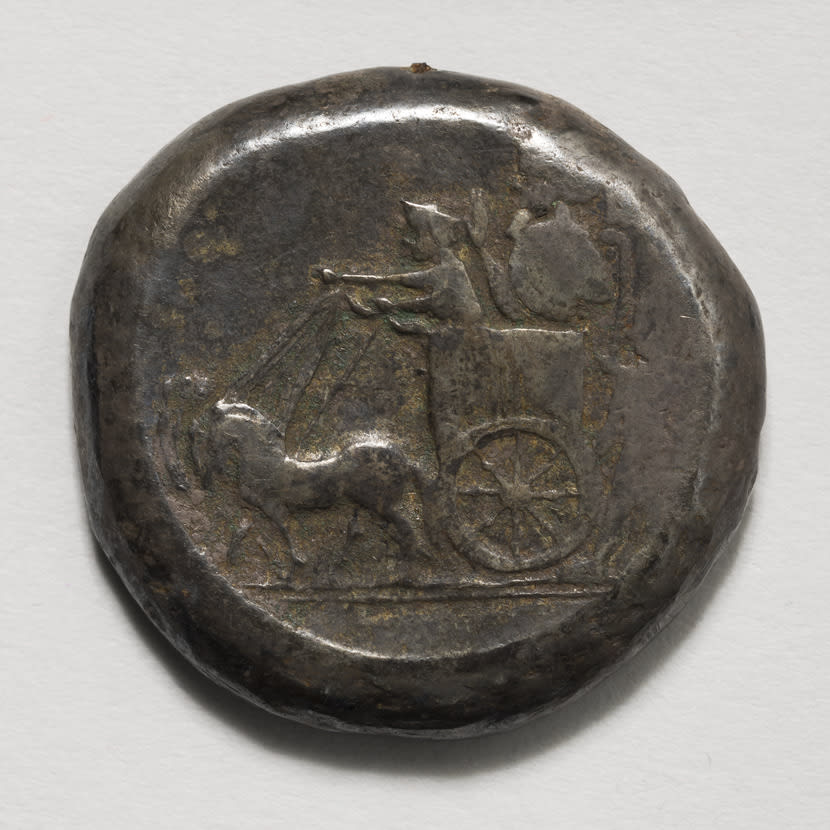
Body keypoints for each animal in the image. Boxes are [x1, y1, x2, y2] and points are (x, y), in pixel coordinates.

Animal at [191, 400, 422, 569]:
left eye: (214, 434)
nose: (215, 465)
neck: (265, 463)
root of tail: (406, 464)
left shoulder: (271, 505)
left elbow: (284, 528)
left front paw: (298, 559)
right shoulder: (258, 507)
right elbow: (247, 527)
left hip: (381, 504)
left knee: (406, 527)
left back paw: (403, 560)